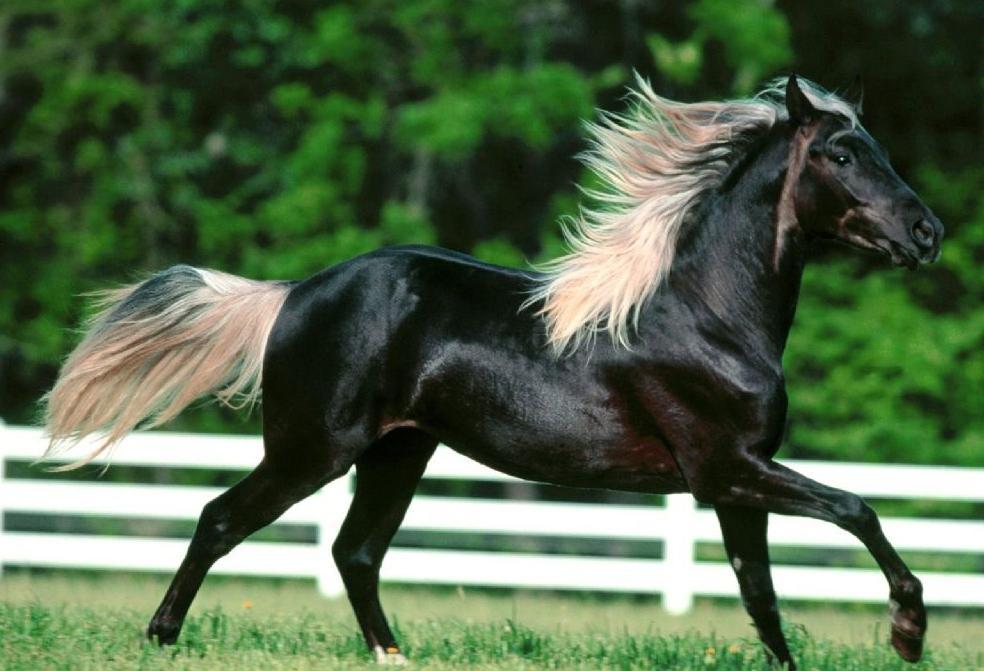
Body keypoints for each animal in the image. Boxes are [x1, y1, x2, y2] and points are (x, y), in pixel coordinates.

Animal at [43, 75, 943, 669]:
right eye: (842, 153)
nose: (927, 233)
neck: (707, 314)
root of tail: (294, 293)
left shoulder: (735, 478)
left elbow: (760, 592)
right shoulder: (727, 467)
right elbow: (857, 509)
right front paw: (908, 633)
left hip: (397, 451)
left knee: (354, 552)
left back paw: (395, 656)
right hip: (312, 450)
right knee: (222, 519)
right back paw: (161, 637)